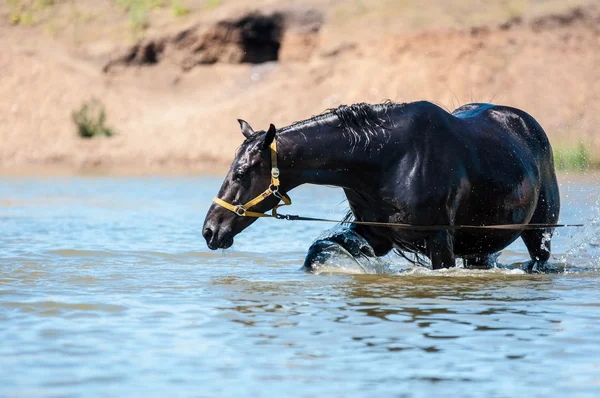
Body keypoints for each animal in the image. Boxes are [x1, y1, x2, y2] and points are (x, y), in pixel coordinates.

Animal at [204, 101, 560, 272]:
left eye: (241, 172)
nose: (210, 230)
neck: (390, 159)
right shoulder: (376, 234)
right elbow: (322, 250)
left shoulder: (439, 241)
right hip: (479, 245)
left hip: (539, 235)